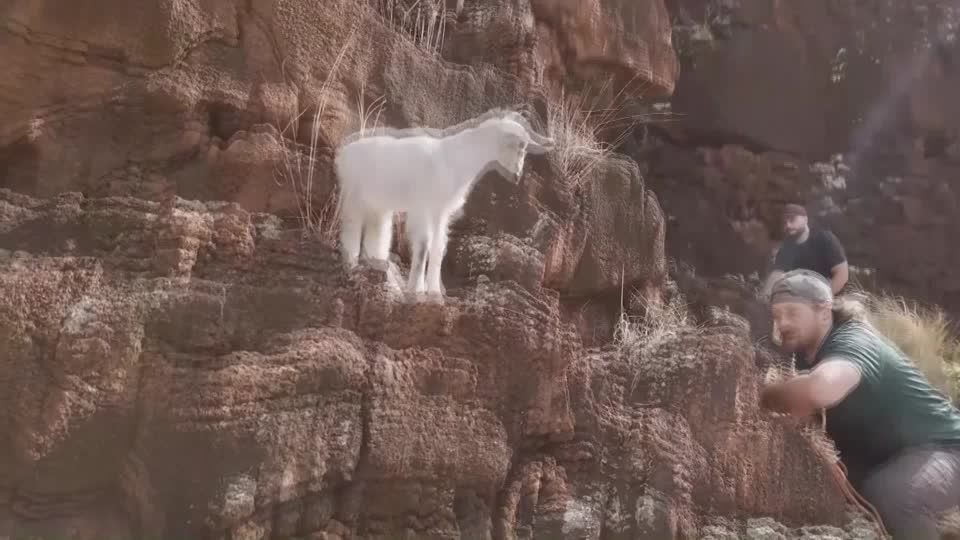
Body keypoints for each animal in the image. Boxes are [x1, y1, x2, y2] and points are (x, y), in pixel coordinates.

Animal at [333, 108, 554, 295]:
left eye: (525, 148)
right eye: (517, 146)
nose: (516, 177)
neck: (454, 159)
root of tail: (344, 151)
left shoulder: (441, 211)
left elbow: (438, 246)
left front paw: (434, 292)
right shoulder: (424, 207)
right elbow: (423, 245)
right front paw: (416, 290)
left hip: (378, 204)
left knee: (377, 231)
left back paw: (379, 266)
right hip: (354, 195)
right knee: (351, 226)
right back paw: (351, 264)